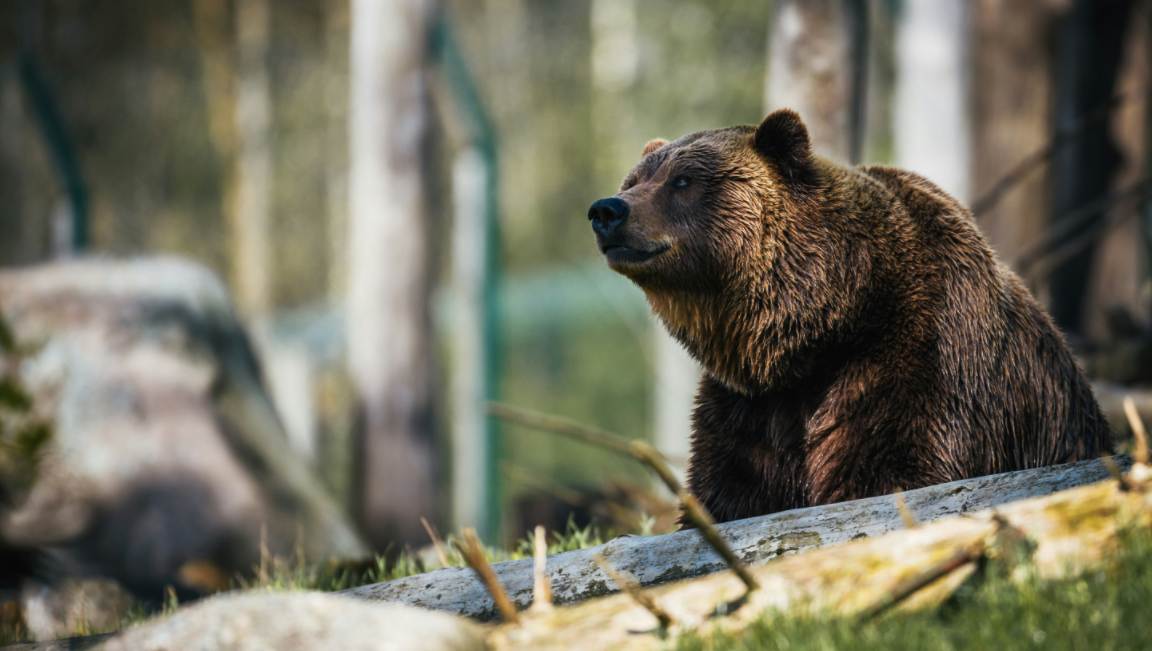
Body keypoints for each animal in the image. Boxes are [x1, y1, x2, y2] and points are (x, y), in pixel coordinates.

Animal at [589, 107, 1110, 523]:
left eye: (683, 181)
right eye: (633, 181)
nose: (607, 210)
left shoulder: (918, 358)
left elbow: (891, 469)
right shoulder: (750, 407)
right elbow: (729, 490)